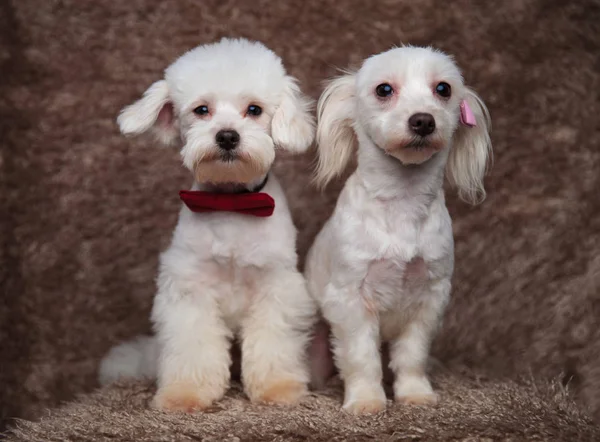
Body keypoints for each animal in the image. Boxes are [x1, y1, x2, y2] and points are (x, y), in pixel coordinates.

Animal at [99, 37, 318, 410]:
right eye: (202, 110)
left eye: (254, 110)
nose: (227, 136)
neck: (231, 203)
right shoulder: (189, 287)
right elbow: (193, 346)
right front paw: (185, 393)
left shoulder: (276, 286)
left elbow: (273, 343)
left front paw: (278, 388)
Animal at [304, 47, 492, 414]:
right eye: (384, 90)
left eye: (443, 89)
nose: (423, 120)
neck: (402, 202)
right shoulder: (350, 300)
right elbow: (361, 358)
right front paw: (365, 400)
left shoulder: (429, 298)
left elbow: (412, 356)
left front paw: (415, 394)